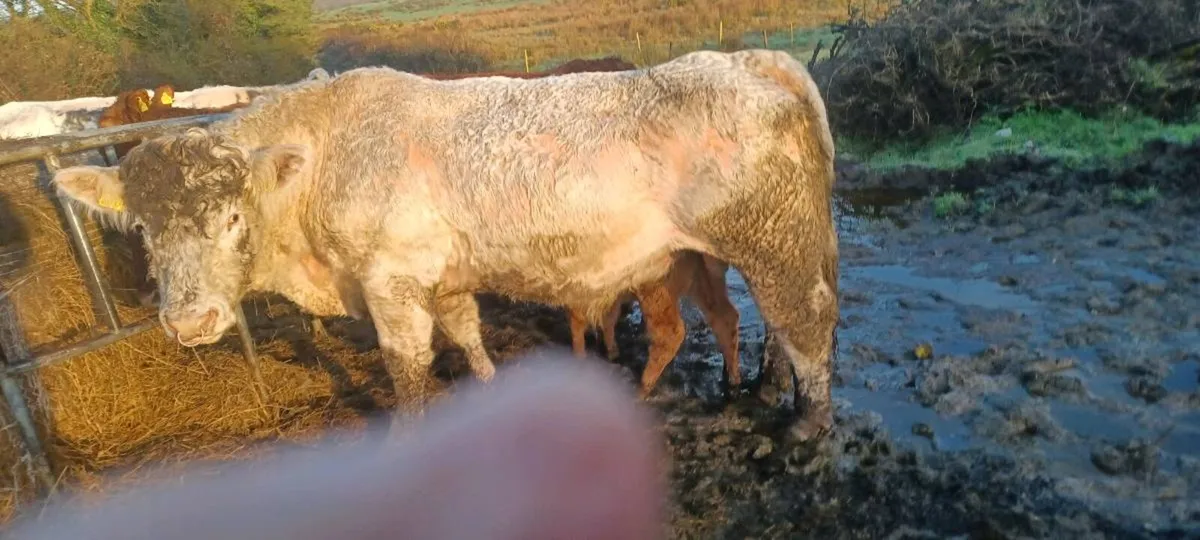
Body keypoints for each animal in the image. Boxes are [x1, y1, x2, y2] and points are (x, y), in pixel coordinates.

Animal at [49, 49, 840, 440]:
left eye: (233, 217)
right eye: (145, 227)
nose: (189, 322)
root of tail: (748, 62)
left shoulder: (391, 284)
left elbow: (408, 374)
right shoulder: (446, 276)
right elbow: (467, 335)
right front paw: (488, 390)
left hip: (777, 243)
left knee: (807, 328)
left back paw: (808, 425)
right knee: (774, 328)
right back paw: (764, 388)